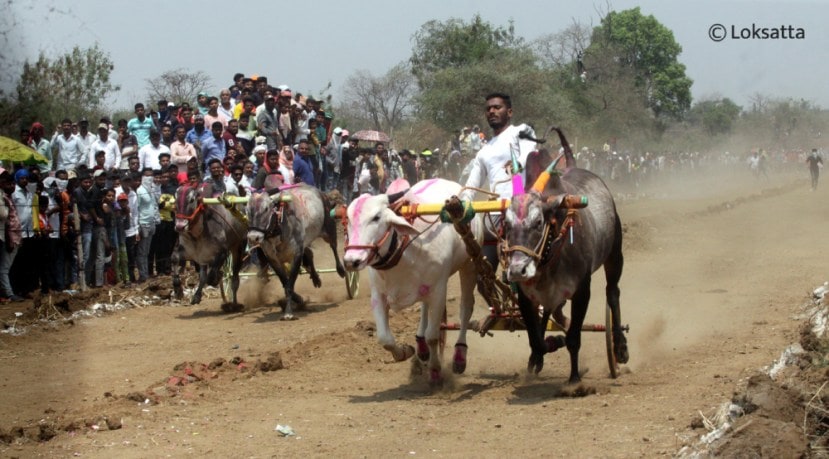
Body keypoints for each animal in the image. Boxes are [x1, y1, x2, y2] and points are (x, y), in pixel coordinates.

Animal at [342, 178, 482, 386]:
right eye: (348, 219)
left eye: (376, 217)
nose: (352, 260)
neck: (406, 249)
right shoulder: (378, 295)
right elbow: (384, 338)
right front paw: (404, 352)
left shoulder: (439, 291)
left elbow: (434, 336)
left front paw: (435, 369)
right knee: (424, 308)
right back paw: (421, 344)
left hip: (469, 264)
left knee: (465, 308)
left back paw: (459, 354)